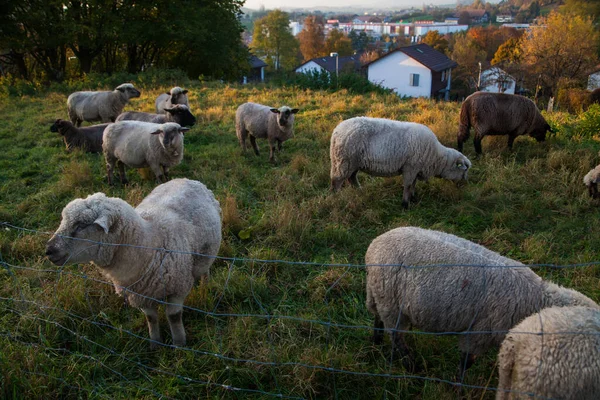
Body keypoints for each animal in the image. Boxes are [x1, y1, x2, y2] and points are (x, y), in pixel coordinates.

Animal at [45, 178, 223, 346]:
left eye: (81, 225)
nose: (49, 250)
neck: (149, 242)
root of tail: (184, 179)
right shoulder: (140, 292)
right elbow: (151, 319)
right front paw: (155, 344)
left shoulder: (177, 288)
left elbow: (173, 317)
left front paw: (179, 344)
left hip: (206, 253)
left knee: (205, 268)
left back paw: (206, 285)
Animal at [330, 116, 472, 208]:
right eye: (464, 170)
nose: (465, 184)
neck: (436, 157)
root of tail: (337, 130)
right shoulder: (411, 167)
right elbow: (408, 185)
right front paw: (405, 204)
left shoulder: (416, 168)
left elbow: (413, 184)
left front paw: (413, 198)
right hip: (344, 161)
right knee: (336, 181)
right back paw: (336, 199)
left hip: (353, 163)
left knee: (351, 178)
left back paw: (359, 191)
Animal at [364, 227, 596, 374]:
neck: (535, 299)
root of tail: (374, 246)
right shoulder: (479, 333)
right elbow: (466, 362)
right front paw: (458, 387)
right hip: (391, 304)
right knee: (396, 336)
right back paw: (411, 365)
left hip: (378, 295)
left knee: (377, 319)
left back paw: (376, 342)